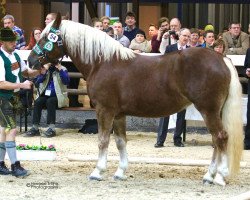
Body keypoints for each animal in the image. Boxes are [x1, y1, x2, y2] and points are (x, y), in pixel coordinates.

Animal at [27, 13, 242, 186]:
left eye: (46, 37)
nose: (30, 61)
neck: (102, 62)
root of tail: (221, 59)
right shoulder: (119, 114)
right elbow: (121, 141)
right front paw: (120, 172)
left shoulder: (104, 110)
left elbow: (103, 140)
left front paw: (97, 172)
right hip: (215, 111)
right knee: (216, 140)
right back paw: (209, 176)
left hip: (208, 110)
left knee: (221, 137)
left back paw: (219, 176)